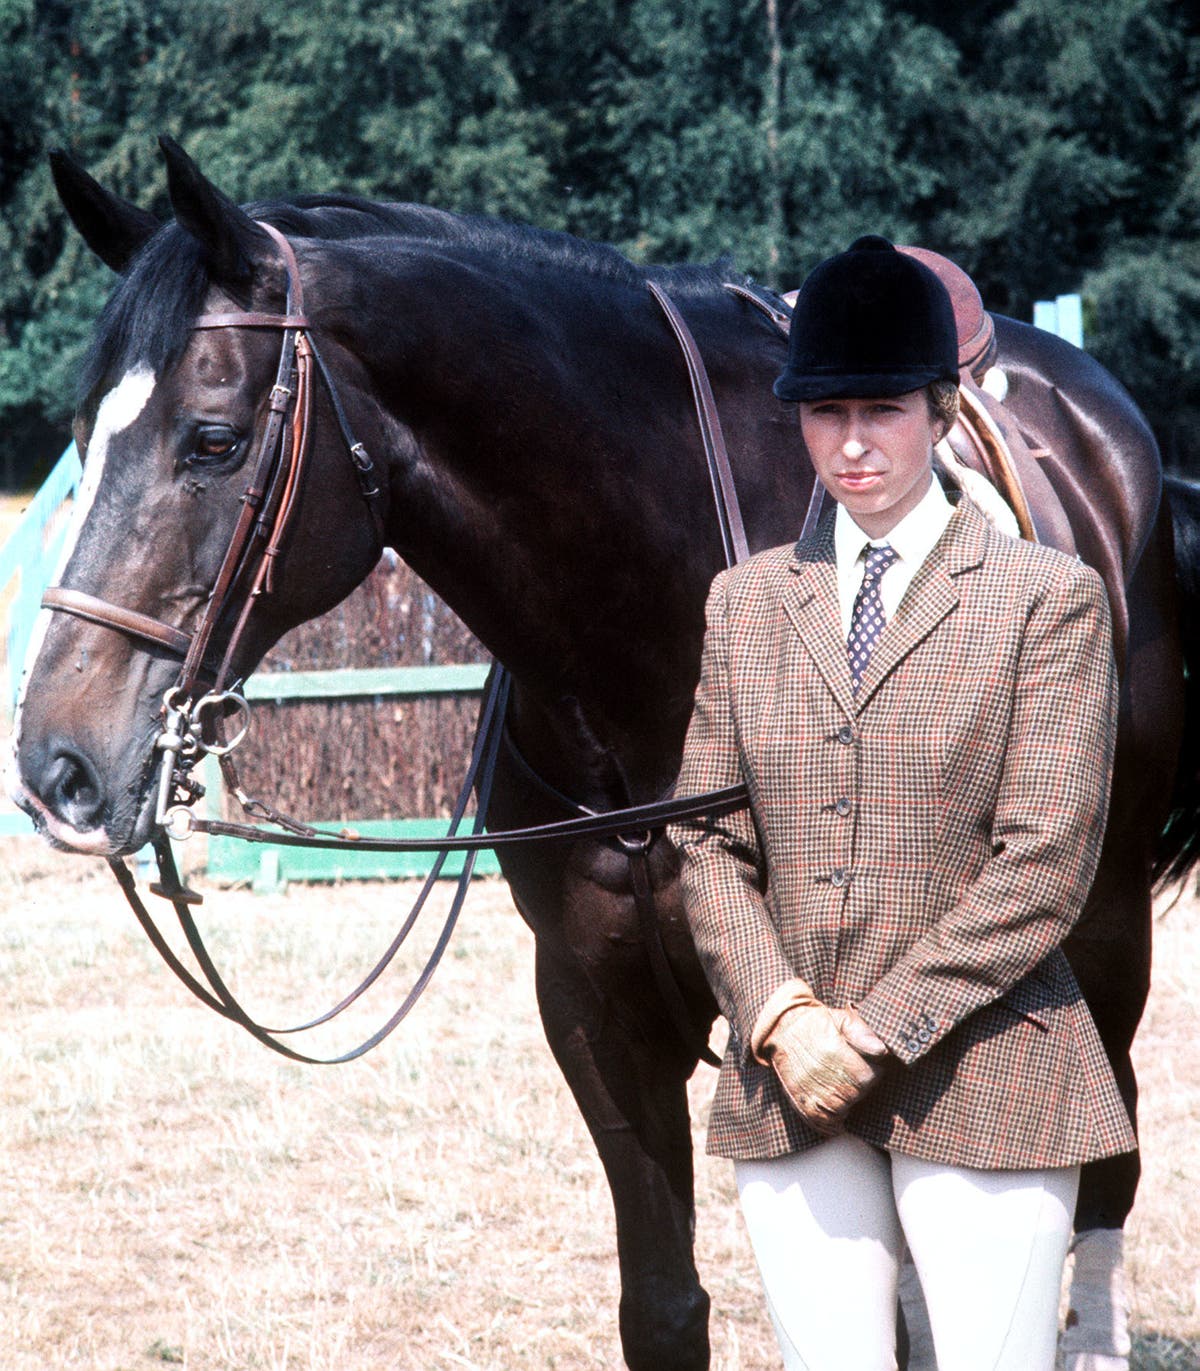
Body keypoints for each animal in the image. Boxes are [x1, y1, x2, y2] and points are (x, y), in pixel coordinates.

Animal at [10, 137, 1199, 1371]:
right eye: (83, 442)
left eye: (214, 440)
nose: (60, 766)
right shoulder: (595, 1004)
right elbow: (666, 1308)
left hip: (1101, 932)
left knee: (1102, 1163)